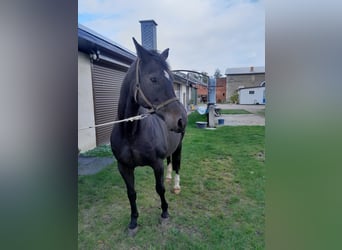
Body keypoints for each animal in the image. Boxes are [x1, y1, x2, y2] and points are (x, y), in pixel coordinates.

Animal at [111, 38, 187, 235]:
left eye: (172, 79)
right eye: (153, 79)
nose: (181, 120)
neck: (131, 132)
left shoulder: (156, 164)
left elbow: (160, 189)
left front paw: (165, 214)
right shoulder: (123, 167)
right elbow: (131, 193)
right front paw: (133, 222)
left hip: (179, 146)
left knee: (177, 164)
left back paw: (176, 185)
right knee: (170, 161)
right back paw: (169, 177)